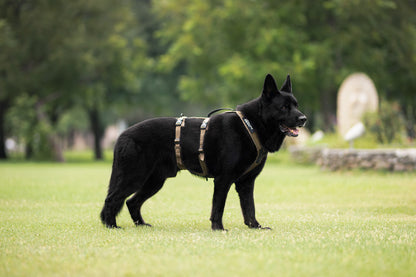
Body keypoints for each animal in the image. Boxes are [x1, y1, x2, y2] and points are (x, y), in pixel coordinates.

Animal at [100, 74, 306, 230]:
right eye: (284, 107)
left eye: (296, 105)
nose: (304, 119)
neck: (251, 126)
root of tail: (122, 135)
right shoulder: (223, 180)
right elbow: (218, 207)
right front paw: (218, 228)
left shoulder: (246, 183)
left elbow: (250, 208)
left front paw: (255, 227)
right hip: (134, 177)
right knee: (112, 199)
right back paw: (111, 226)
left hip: (155, 181)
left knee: (131, 202)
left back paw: (141, 225)